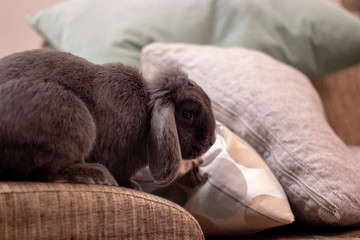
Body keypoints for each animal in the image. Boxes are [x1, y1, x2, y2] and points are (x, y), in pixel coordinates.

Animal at [0, 49, 214, 188]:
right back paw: (98, 177)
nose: (210, 142)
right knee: (46, 173)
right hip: (72, 119)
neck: (147, 115)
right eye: (187, 115)